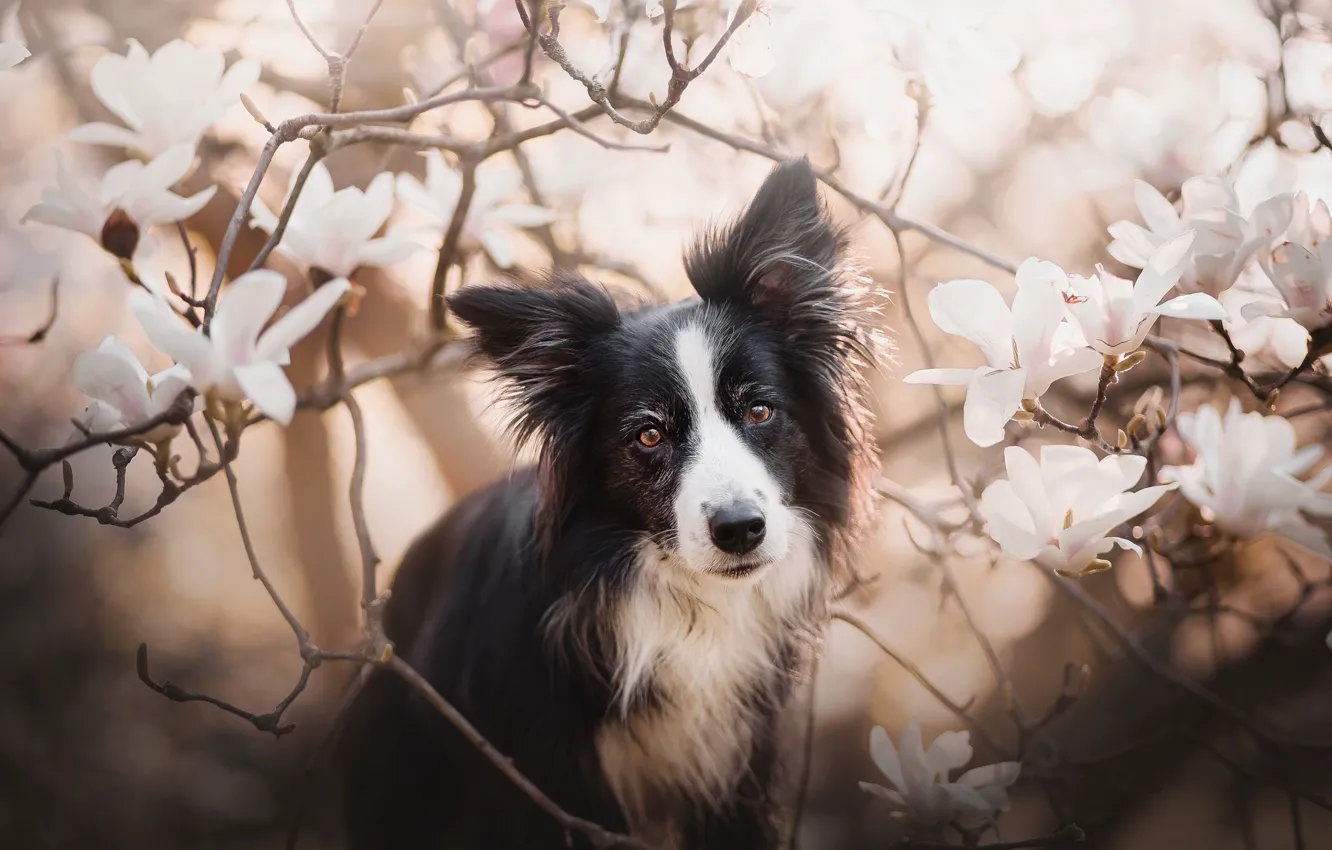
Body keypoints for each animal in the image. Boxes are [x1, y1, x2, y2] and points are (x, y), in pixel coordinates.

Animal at [338, 161, 884, 850]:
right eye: (648, 436)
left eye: (760, 410)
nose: (741, 530)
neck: (683, 607)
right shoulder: (542, 784)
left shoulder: (735, 774)